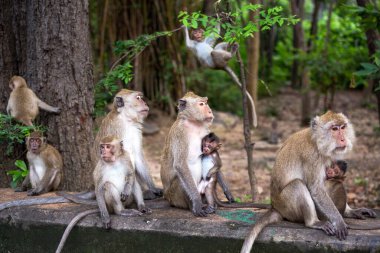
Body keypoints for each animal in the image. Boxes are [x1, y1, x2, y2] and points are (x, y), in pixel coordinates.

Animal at [242, 111, 378, 253]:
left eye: (343, 127)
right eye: (334, 129)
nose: (343, 139)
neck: (317, 141)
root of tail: (275, 206)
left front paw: (351, 211)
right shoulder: (312, 157)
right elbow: (316, 189)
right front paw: (339, 221)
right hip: (287, 207)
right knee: (297, 185)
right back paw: (313, 222)